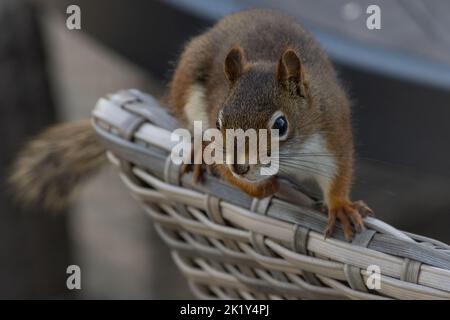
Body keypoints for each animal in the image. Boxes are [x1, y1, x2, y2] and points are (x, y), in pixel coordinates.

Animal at [10, 9, 372, 240]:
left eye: (281, 125)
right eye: (220, 120)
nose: (242, 166)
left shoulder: (332, 132)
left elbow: (338, 175)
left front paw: (340, 207)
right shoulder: (221, 147)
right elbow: (231, 175)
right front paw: (264, 187)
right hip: (188, 84)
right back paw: (199, 150)